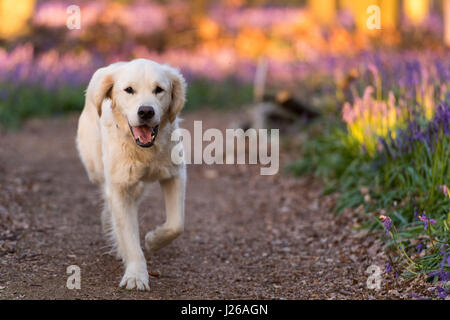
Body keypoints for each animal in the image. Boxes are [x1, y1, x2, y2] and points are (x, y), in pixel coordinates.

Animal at [75, 58, 186, 292]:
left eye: (159, 89)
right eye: (129, 90)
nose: (146, 112)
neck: (144, 150)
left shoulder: (175, 174)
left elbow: (176, 224)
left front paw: (153, 239)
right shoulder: (119, 187)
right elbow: (129, 235)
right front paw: (136, 275)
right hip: (97, 169)